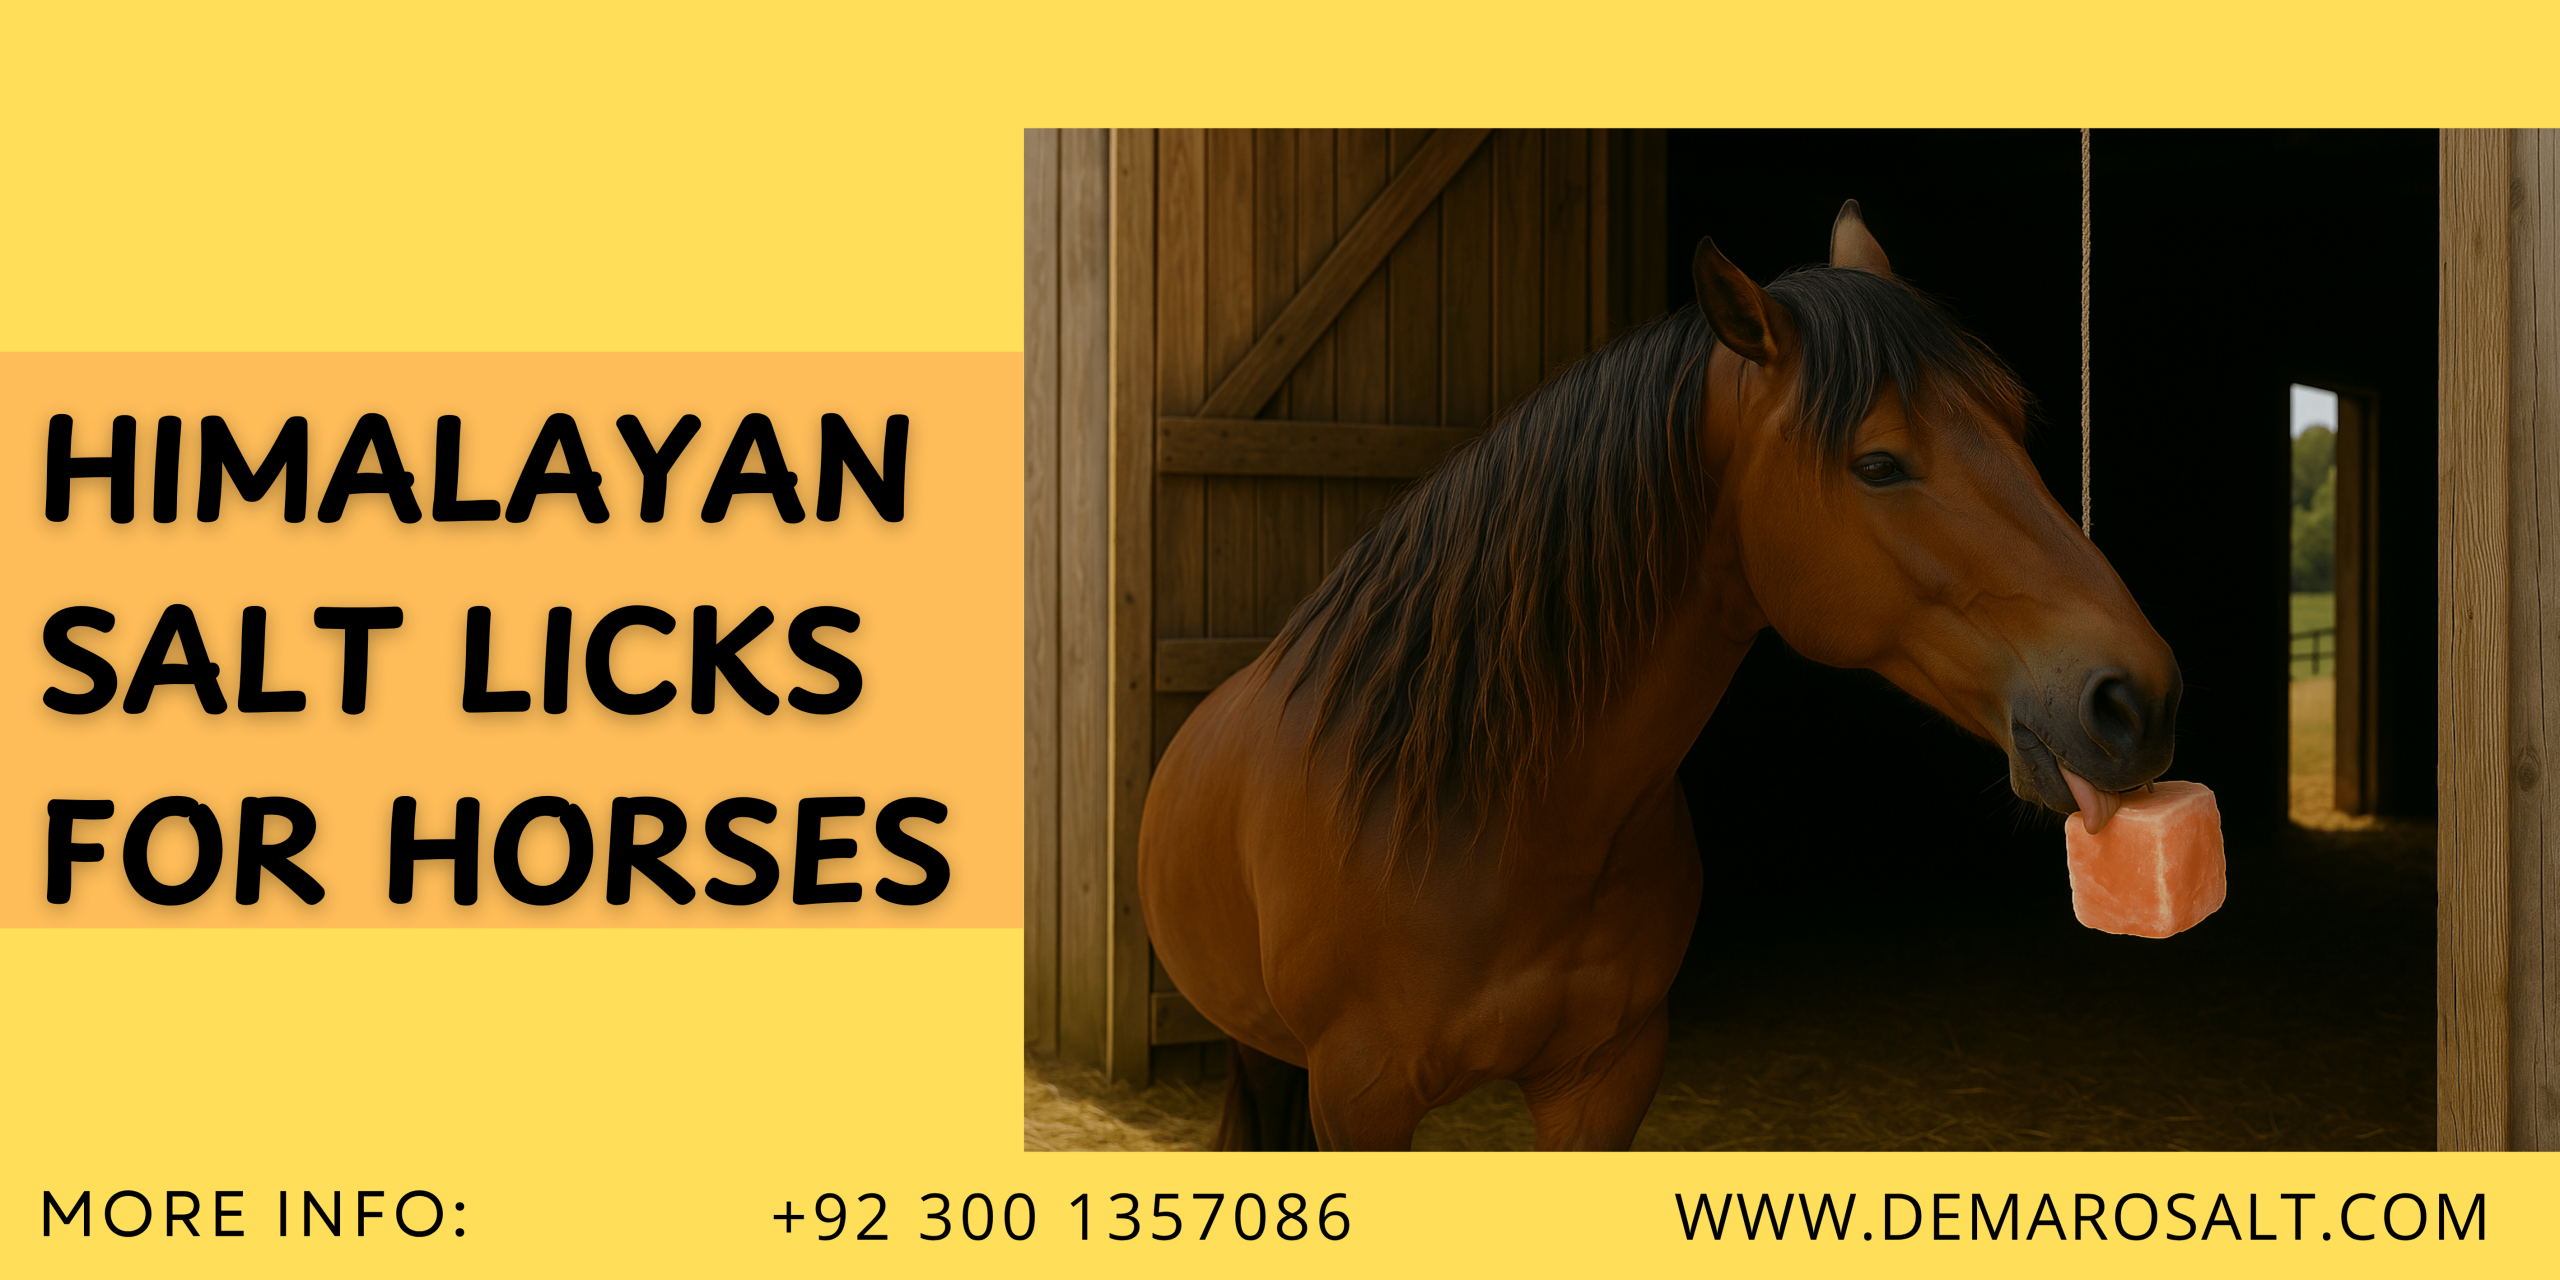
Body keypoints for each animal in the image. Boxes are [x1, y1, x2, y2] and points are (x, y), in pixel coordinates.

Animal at [1137, 202, 2182, 1151]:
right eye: (1879, 464)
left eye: (2010, 424)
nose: (2137, 700)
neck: (1487, 816)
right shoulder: (1362, 1099)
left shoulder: (1607, 1079)